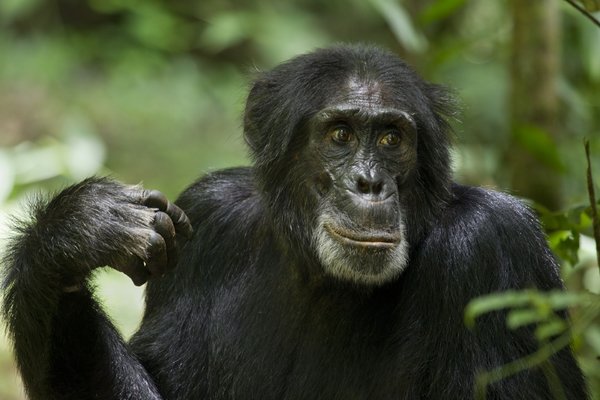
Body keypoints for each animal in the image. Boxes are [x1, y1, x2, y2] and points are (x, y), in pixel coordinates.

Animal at [1, 44, 592, 400]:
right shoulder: (208, 217)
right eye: (340, 135)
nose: (369, 183)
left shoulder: (494, 247)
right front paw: (76, 230)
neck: (324, 276)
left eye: (391, 138)